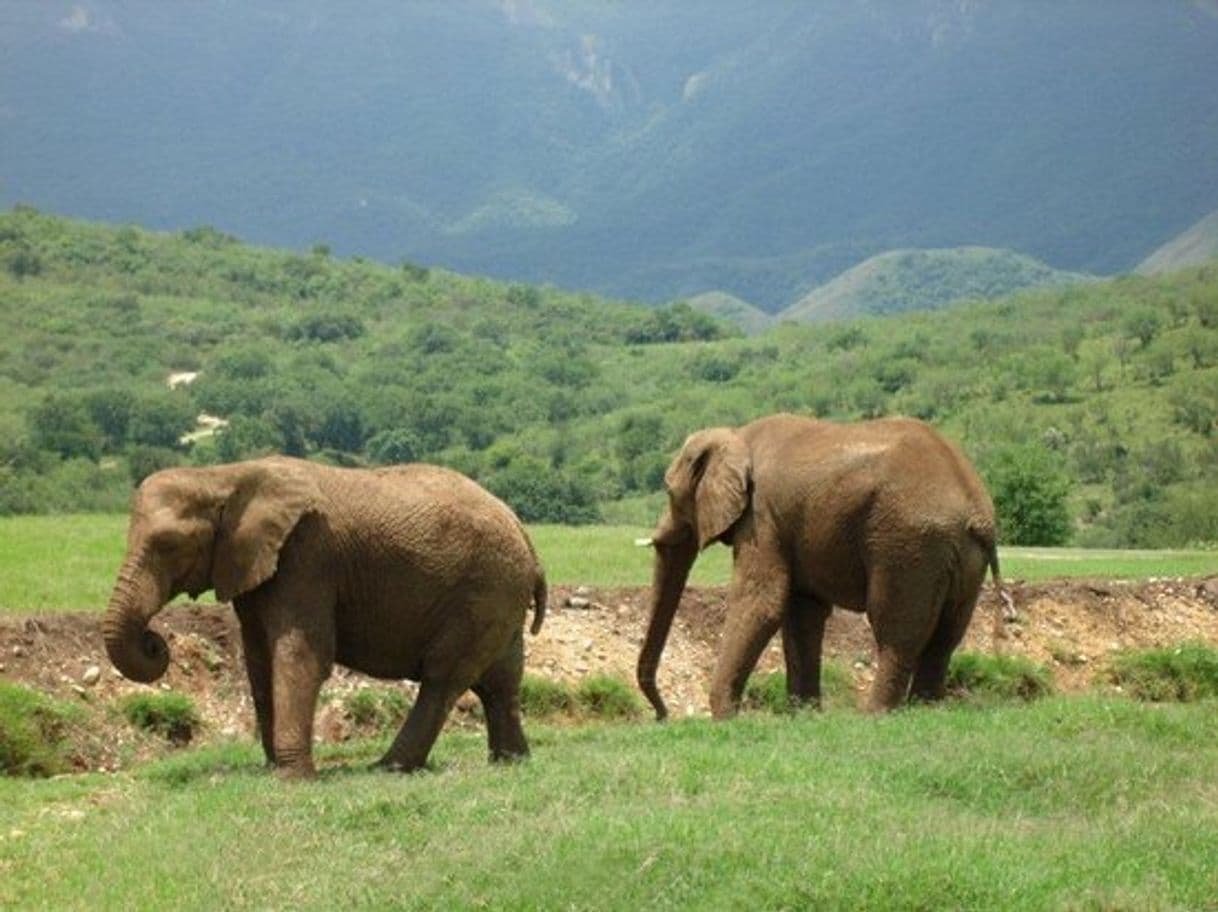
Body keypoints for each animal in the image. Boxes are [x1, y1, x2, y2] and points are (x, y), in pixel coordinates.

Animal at [104, 455, 548, 774]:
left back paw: (389, 768)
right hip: (498, 596)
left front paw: (294, 778)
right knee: (500, 680)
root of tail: (525, 534)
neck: (222, 475)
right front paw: (272, 769)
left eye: (168, 545)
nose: (155, 643)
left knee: (443, 678)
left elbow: (301, 655)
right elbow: (258, 660)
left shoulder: (308, 557)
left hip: (483, 591)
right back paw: (510, 762)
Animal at [638, 411, 1008, 720]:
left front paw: (724, 718)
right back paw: (925, 711)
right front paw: (803, 716)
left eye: (668, 492)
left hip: (909, 545)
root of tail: (977, 511)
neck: (736, 434)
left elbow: (761, 603)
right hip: (959, 556)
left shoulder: (762, 517)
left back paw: (874, 716)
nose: (663, 717)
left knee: (896, 630)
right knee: (946, 637)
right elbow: (802, 612)